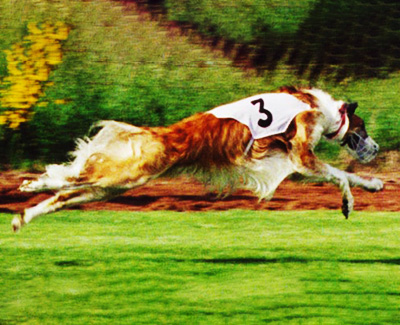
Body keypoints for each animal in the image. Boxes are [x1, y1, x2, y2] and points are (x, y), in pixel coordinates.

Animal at [12, 86, 384, 230]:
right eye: (363, 128)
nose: (377, 149)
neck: (319, 106)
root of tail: (159, 134)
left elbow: (346, 176)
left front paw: (371, 188)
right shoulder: (301, 158)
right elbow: (341, 174)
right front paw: (354, 199)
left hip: (114, 186)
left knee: (63, 196)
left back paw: (23, 216)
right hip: (126, 174)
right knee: (67, 177)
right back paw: (31, 185)